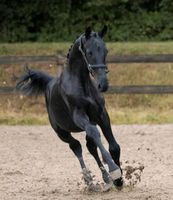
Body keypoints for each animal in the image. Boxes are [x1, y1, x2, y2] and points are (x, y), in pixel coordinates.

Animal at [16, 25, 123, 188]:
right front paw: (114, 171)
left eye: (106, 51)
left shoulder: (102, 115)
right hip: (61, 132)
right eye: (89, 52)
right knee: (76, 146)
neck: (82, 85)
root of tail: (49, 82)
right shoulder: (79, 116)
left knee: (91, 146)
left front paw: (120, 180)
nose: (103, 84)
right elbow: (95, 134)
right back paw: (89, 180)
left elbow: (114, 146)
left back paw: (105, 178)